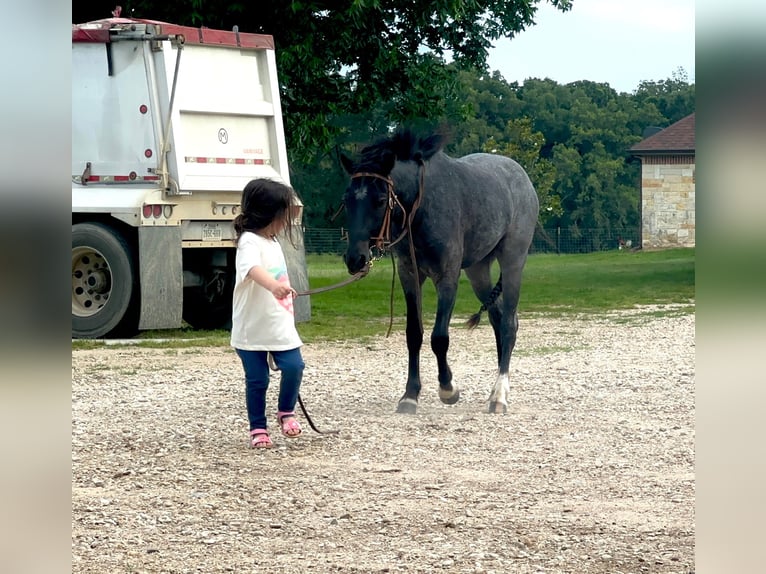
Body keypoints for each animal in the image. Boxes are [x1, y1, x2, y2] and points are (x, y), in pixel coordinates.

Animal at [340, 128, 539, 414]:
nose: (355, 258)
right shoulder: (410, 275)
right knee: (498, 317)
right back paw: (494, 391)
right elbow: (414, 334)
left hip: (513, 262)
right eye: (346, 200)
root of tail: (522, 178)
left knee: (509, 324)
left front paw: (448, 389)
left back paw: (500, 395)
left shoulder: (447, 278)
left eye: (379, 200)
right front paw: (410, 395)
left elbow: (439, 337)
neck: (422, 206)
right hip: (478, 271)